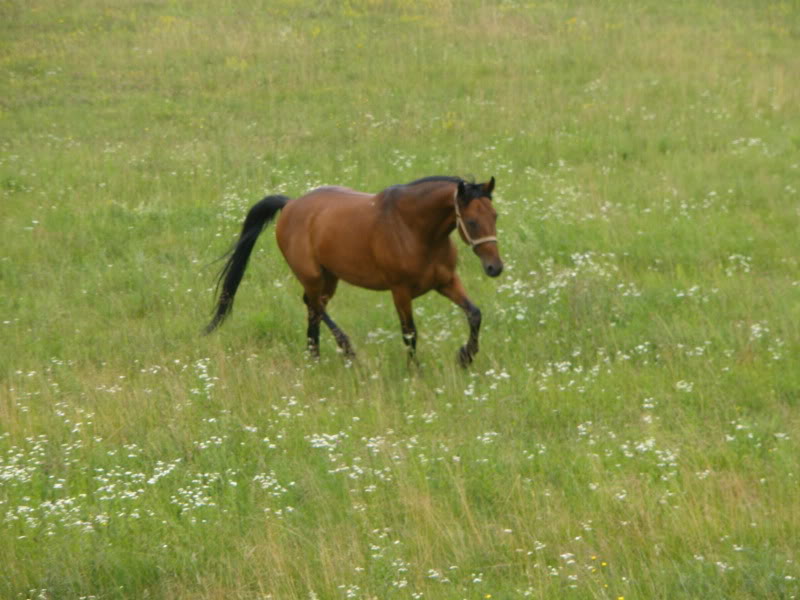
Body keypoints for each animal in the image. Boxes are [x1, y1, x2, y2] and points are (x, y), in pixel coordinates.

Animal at [208, 175, 506, 366]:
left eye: (495, 216)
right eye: (471, 221)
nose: (495, 267)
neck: (414, 229)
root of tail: (290, 204)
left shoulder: (446, 281)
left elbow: (475, 314)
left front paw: (465, 356)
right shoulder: (400, 291)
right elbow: (410, 333)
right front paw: (415, 372)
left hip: (329, 277)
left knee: (313, 308)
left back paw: (315, 357)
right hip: (312, 275)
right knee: (315, 306)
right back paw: (347, 349)